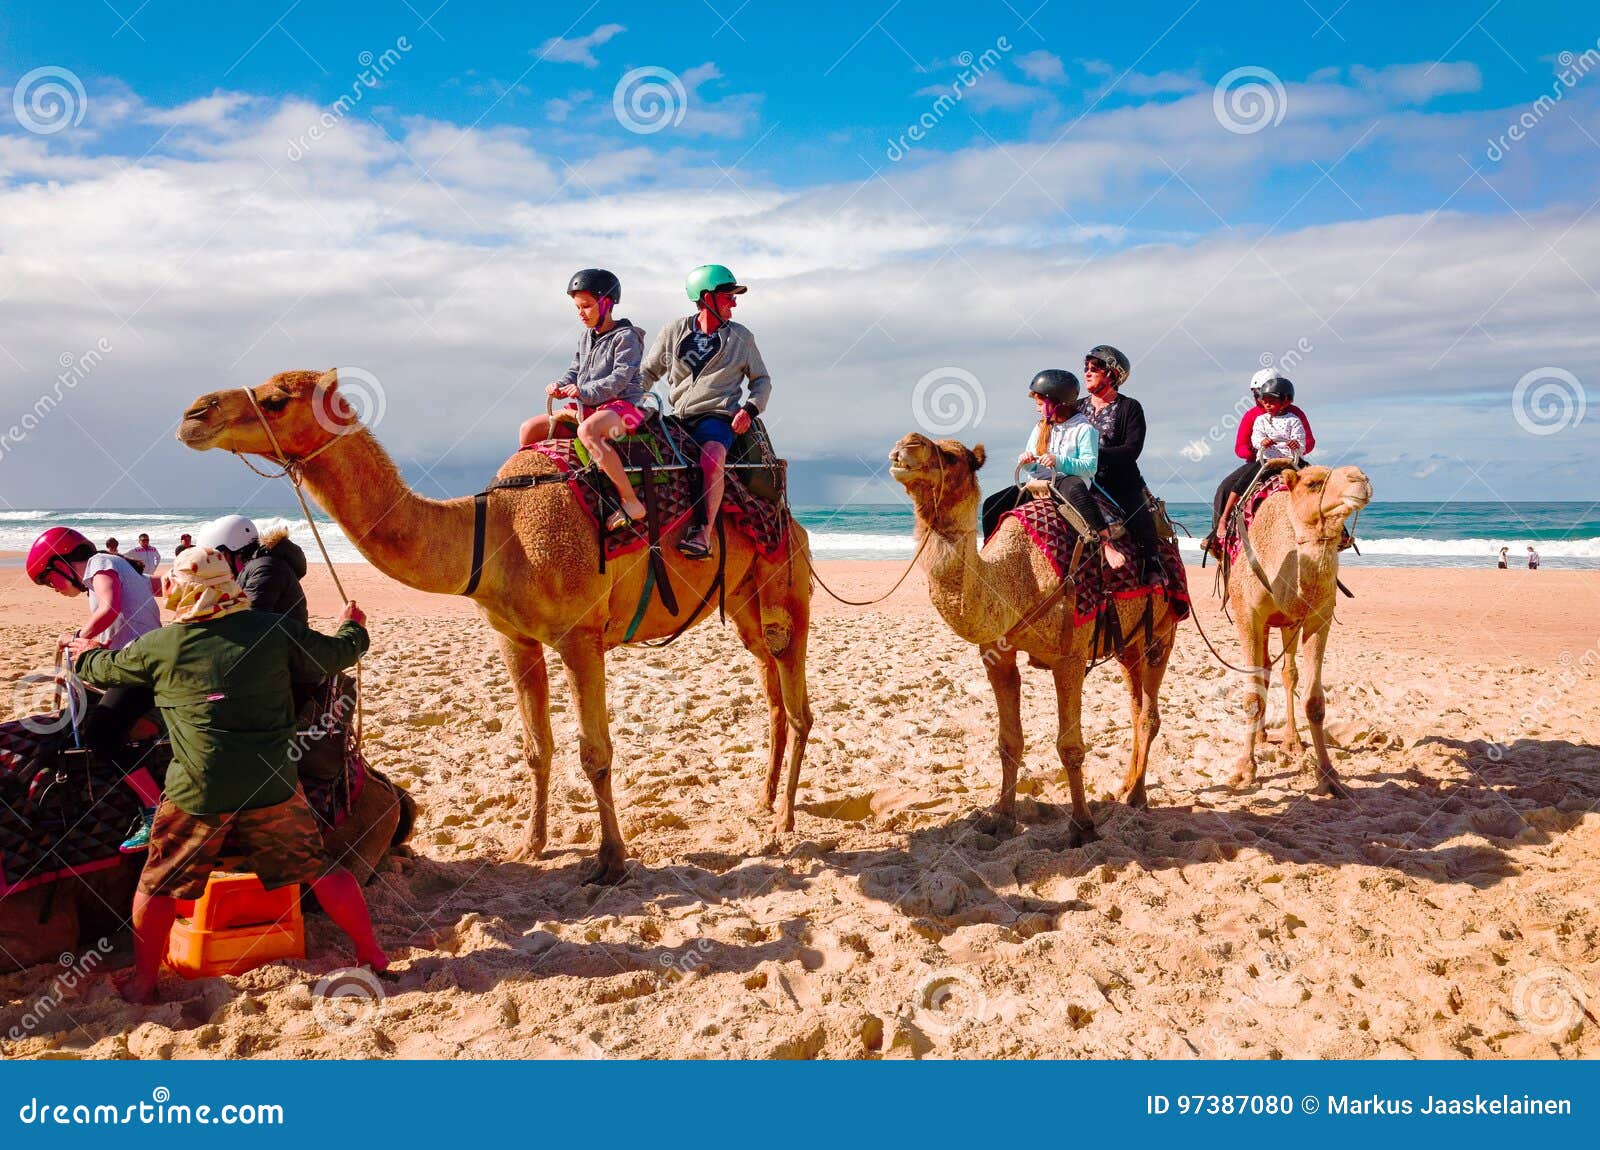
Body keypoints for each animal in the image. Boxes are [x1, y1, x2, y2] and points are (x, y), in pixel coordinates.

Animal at [175, 369, 812, 882]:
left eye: (276, 399)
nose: (193, 413)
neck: (496, 530)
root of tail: (789, 510)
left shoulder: (580, 638)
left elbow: (595, 752)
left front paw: (610, 861)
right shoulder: (514, 639)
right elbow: (535, 747)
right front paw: (531, 845)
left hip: (786, 582)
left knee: (797, 697)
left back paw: (784, 820)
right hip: (746, 604)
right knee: (773, 694)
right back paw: (762, 801)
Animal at [896, 435, 1184, 844]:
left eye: (952, 456)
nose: (905, 447)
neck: (1020, 576)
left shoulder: (1070, 658)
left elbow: (1070, 747)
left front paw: (1083, 826)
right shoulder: (996, 655)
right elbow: (1008, 742)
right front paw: (1002, 818)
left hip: (1162, 632)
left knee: (1149, 715)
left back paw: (1138, 797)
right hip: (1128, 645)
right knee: (1135, 705)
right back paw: (1125, 787)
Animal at [1222, 463, 1376, 796]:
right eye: (1313, 483)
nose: (1360, 478)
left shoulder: (1318, 618)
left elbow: (1314, 701)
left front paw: (1329, 775)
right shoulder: (1247, 615)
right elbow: (1251, 697)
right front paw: (1244, 771)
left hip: (1287, 624)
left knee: (1285, 673)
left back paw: (1291, 741)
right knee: (1264, 671)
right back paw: (1263, 737)